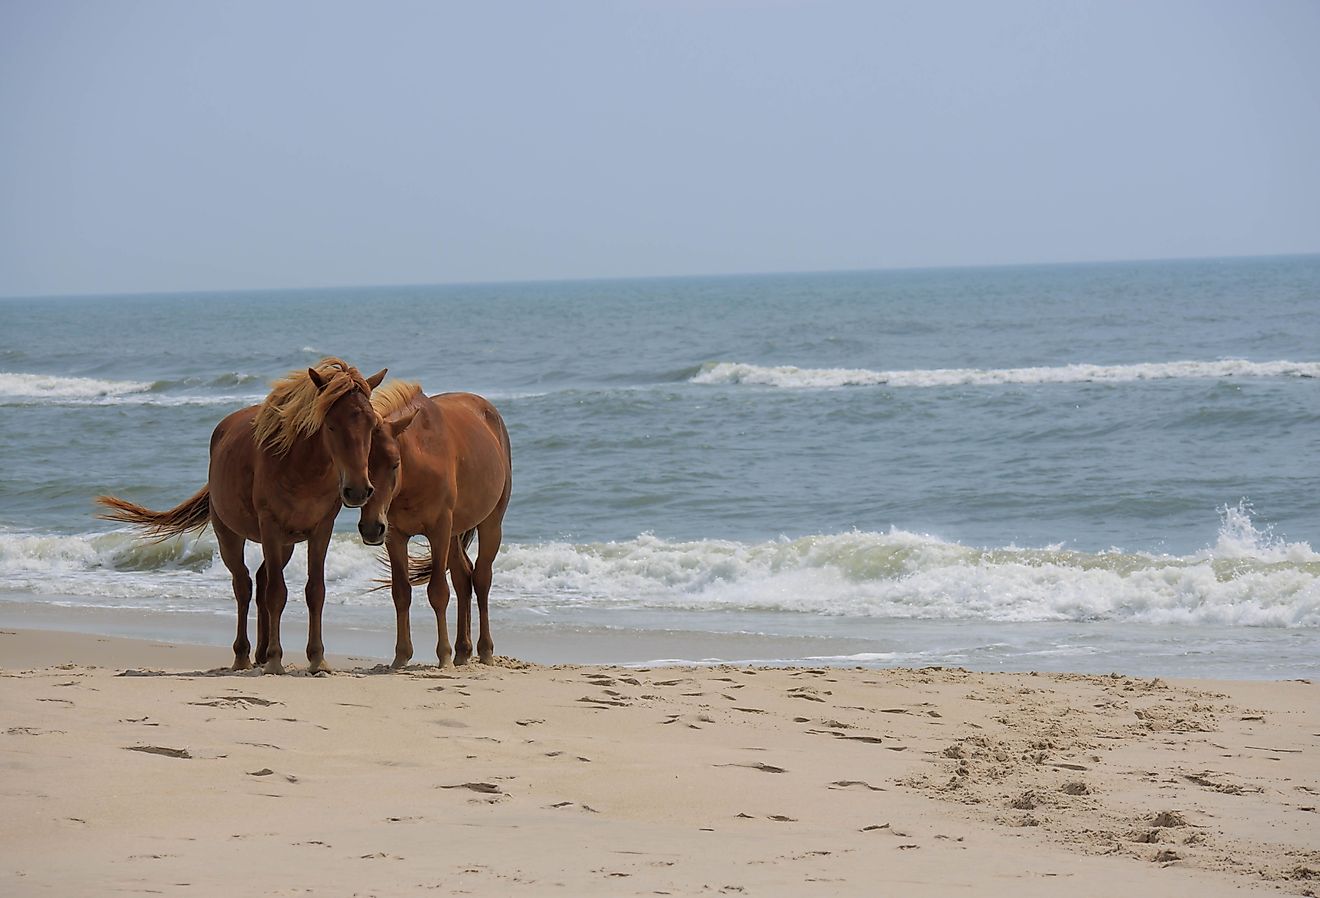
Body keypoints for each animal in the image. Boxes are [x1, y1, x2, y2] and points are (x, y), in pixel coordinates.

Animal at [96, 358, 388, 674]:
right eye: (330, 425)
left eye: (372, 425)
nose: (357, 491)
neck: (302, 467)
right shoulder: (270, 527)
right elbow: (277, 593)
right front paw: (275, 660)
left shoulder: (321, 530)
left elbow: (315, 591)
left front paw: (316, 659)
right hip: (230, 536)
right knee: (244, 585)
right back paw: (244, 655)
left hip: (286, 543)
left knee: (260, 582)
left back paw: (259, 653)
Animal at [357, 382, 512, 668]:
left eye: (395, 464)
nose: (372, 528)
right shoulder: (396, 536)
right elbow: (401, 593)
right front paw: (401, 656)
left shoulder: (439, 530)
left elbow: (438, 592)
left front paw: (444, 656)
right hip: (454, 533)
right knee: (463, 578)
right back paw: (463, 650)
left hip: (490, 523)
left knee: (481, 577)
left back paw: (484, 650)